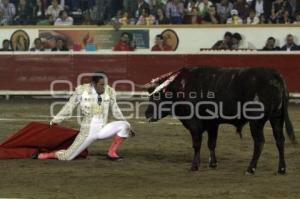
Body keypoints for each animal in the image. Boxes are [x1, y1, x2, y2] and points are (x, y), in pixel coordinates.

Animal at [144, 66, 296, 174]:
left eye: (157, 97)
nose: (146, 113)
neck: (182, 87)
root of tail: (274, 74)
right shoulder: (213, 123)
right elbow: (211, 143)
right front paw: (213, 163)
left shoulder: (194, 124)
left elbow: (197, 144)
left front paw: (194, 166)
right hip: (277, 118)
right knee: (280, 140)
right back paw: (281, 169)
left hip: (256, 121)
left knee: (259, 142)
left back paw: (250, 169)